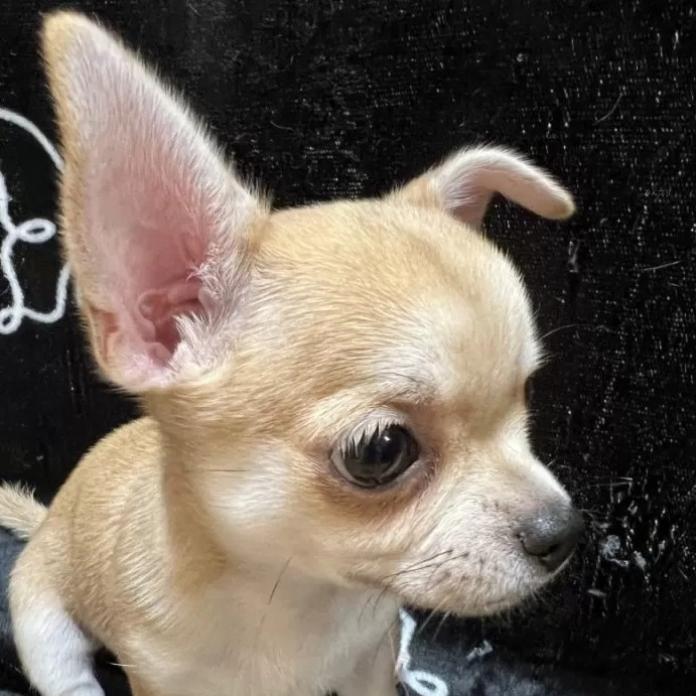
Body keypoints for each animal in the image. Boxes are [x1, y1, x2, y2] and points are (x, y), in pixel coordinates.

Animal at [0, 11, 583, 696]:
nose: (563, 531)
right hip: (42, 627)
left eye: (525, 395)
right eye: (380, 451)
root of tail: (47, 520)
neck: (296, 598)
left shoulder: (370, 658)